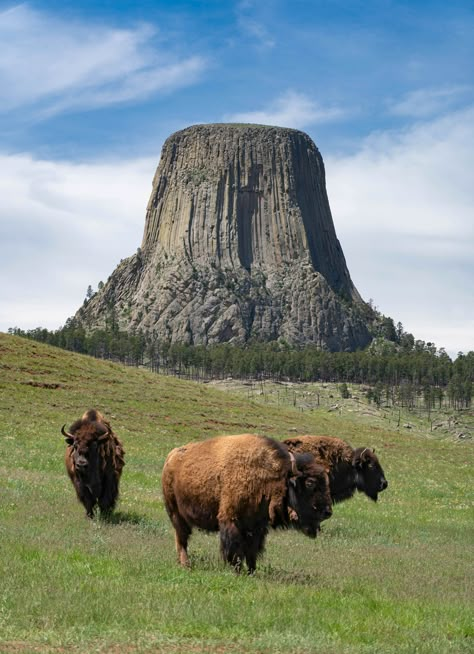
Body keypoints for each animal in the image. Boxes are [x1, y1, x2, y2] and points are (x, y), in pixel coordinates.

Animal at [161, 436, 332, 576]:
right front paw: (236, 571)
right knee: (182, 539)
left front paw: (251, 572)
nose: (328, 512)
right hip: (176, 514)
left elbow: (252, 550)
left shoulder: (256, 528)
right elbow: (235, 549)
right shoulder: (231, 521)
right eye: (310, 483)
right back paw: (186, 565)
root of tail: (170, 457)